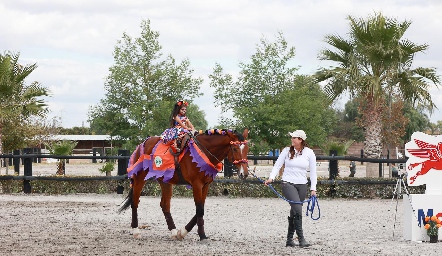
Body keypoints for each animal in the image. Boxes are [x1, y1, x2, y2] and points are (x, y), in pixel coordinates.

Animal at [117, 129, 249, 241]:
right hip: (140, 179)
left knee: (165, 205)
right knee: (135, 202)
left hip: (165, 182)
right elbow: (199, 210)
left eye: (247, 149)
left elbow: (200, 209)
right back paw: (136, 231)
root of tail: (142, 144)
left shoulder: (205, 186)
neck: (203, 151)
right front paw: (201, 235)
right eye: (235, 149)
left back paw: (174, 231)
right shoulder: (197, 184)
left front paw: (182, 232)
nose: (245, 173)